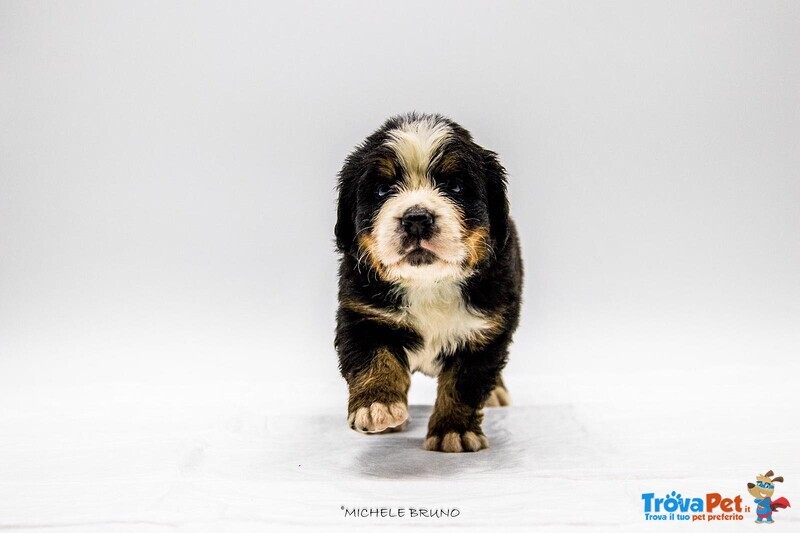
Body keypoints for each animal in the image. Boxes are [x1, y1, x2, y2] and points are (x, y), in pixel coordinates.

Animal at [332, 113, 524, 454]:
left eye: (456, 187)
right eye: (381, 190)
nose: (417, 218)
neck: (429, 284)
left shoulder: (487, 329)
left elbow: (464, 384)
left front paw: (454, 430)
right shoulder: (362, 314)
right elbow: (375, 360)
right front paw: (377, 407)